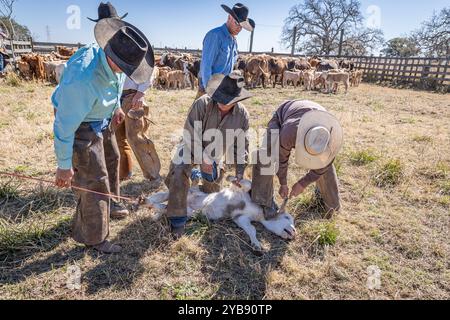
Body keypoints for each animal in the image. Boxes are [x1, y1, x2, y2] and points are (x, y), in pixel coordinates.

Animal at [146, 178, 298, 250]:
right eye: (287, 217)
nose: (294, 232)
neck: (259, 213)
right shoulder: (244, 193)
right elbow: (246, 183)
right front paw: (232, 178)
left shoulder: (240, 218)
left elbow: (251, 229)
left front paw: (256, 244)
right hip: (174, 194)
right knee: (158, 198)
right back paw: (145, 201)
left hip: (188, 212)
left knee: (165, 208)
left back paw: (153, 209)